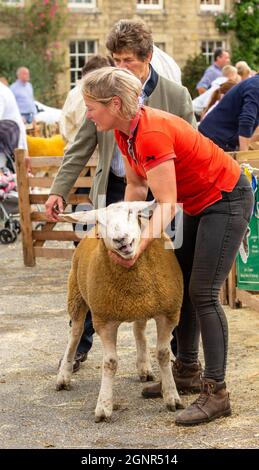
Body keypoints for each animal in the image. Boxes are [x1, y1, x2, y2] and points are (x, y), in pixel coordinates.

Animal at [57, 199, 184, 422]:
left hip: (142, 306)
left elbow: (162, 354)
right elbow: (110, 362)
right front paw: (104, 406)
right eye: (101, 222)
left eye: (131, 212)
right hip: (76, 296)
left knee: (139, 331)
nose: (120, 239)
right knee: (75, 335)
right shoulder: (104, 319)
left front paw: (171, 397)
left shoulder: (168, 313)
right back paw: (64, 375)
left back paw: (144, 367)